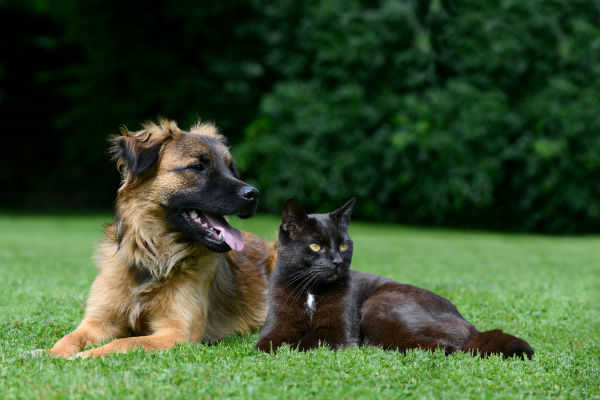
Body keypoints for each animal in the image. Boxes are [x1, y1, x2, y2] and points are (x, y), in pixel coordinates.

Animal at [33, 119, 276, 360]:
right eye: (198, 167)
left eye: (231, 169)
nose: (253, 194)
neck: (153, 256)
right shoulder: (99, 322)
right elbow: (69, 338)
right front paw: (49, 353)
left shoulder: (177, 332)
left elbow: (123, 343)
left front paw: (86, 355)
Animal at [254, 198, 536, 358]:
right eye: (315, 246)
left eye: (343, 245)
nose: (337, 261)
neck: (311, 292)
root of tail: (467, 323)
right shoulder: (275, 327)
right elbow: (265, 344)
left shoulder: (342, 332)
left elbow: (311, 340)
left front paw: (295, 346)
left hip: (380, 306)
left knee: (448, 347)